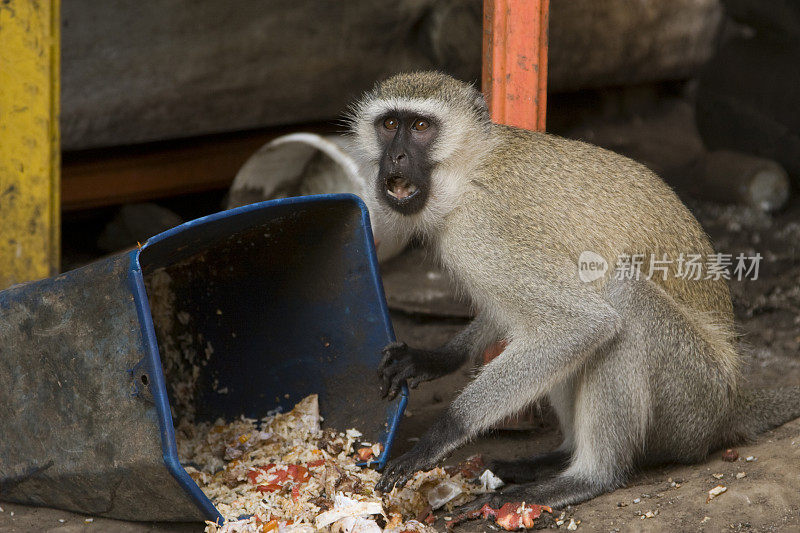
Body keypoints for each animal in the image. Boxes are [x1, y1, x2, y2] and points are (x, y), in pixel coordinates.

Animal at [348, 71, 800, 508]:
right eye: (390, 125)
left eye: (421, 127)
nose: (396, 156)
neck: (469, 171)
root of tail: (732, 403)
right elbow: (516, 318)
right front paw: (435, 358)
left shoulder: (482, 230)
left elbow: (582, 323)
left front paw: (436, 438)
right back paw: (559, 458)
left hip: (694, 402)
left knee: (624, 301)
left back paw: (588, 478)